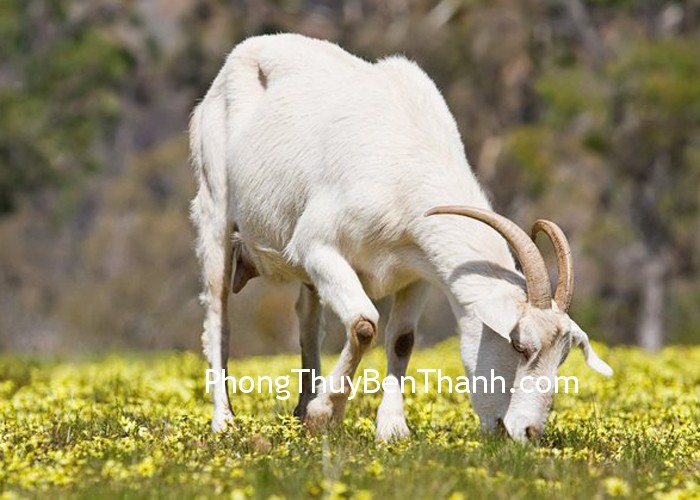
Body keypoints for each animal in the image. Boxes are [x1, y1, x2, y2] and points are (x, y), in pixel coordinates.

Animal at [189, 33, 608, 444]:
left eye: (563, 357)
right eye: (520, 346)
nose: (528, 431)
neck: (407, 164)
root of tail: (241, 54)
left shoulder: (418, 271)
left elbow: (402, 339)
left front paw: (390, 429)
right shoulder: (317, 246)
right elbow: (363, 324)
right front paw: (326, 415)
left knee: (308, 323)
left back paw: (300, 409)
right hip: (215, 208)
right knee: (218, 319)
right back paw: (224, 420)